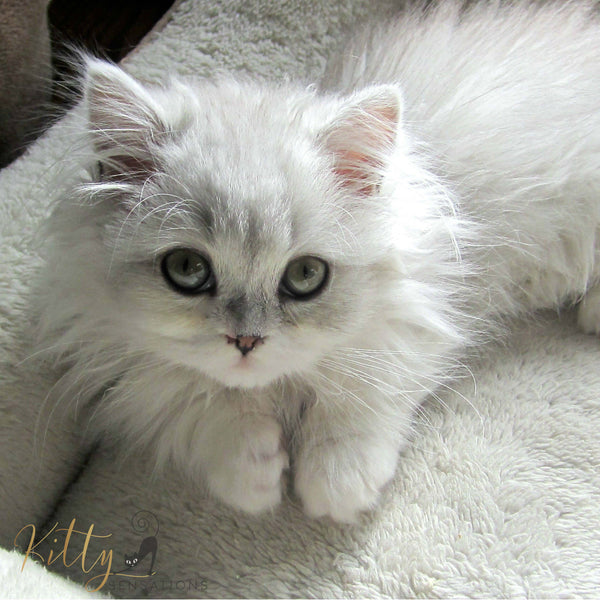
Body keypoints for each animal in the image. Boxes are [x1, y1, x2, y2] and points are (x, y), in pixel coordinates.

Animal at [36, 0, 600, 524]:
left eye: (305, 276)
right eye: (188, 270)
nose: (246, 342)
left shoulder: (426, 305)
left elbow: (357, 395)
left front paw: (336, 484)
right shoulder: (121, 358)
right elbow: (199, 399)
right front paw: (251, 473)